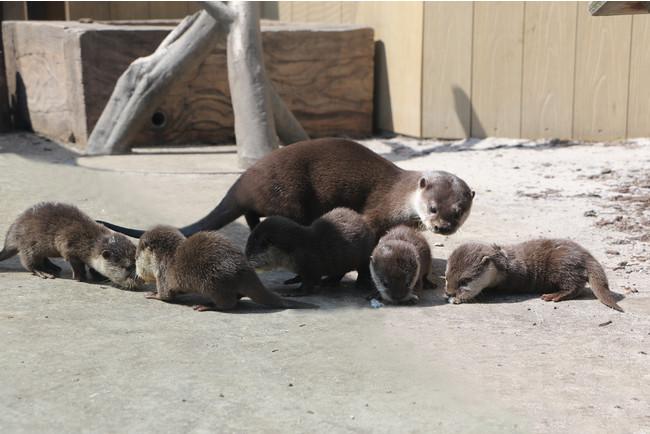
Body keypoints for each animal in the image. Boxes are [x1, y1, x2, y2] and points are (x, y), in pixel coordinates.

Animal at [0, 203, 141, 290]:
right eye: (128, 268)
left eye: (137, 264)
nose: (141, 280)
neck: (90, 242)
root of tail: (12, 232)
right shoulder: (68, 245)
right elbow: (76, 263)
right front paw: (81, 277)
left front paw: (98, 275)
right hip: (27, 243)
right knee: (29, 262)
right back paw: (43, 271)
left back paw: (52, 266)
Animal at [97, 138, 470, 239]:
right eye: (432, 208)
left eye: (459, 211)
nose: (442, 227)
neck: (401, 197)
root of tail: (242, 181)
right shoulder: (379, 208)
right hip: (288, 194)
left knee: (250, 214)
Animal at [135, 225, 318, 310]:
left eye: (136, 257)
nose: (137, 273)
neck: (167, 256)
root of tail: (244, 271)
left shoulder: (162, 274)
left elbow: (166, 296)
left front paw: (152, 294)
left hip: (213, 283)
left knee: (228, 303)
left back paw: (207, 306)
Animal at [244, 208, 374, 296]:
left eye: (250, 250)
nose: (246, 263)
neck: (298, 248)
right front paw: (294, 280)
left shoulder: (312, 265)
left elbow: (311, 282)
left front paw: (295, 291)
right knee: (340, 272)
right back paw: (329, 281)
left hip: (364, 254)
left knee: (363, 269)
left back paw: (362, 284)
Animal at [442, 237, 620, 312]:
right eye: (447, 276)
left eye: (464, 281)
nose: (449, 292)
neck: (504, 266)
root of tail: (586, 255)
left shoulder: (509, 283)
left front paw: (458, 299)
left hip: (561, 265)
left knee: (575, 286)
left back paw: (553, 295)